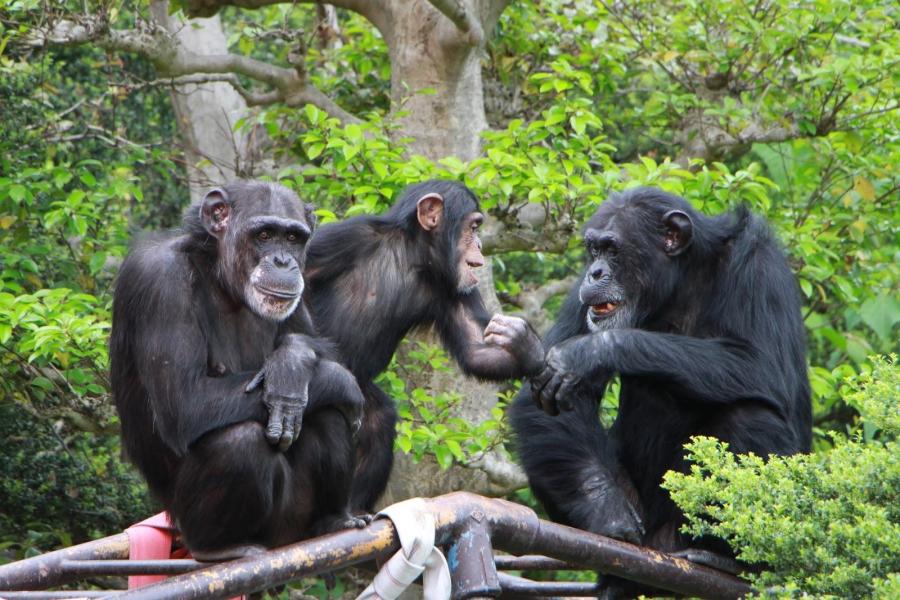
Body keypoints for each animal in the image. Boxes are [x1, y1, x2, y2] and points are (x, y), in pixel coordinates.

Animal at [110, 180, 368, 560]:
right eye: (264, 234)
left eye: (293, 238)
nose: (283, 261)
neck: (219, 275)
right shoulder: (160, 280)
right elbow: (186, 402)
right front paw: (337, 381)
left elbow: (323, 343)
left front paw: (291, 363)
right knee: (238, 442)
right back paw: (219, 548)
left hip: (294, 520)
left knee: (326, 411)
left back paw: (334, 519)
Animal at [302, 179, 544, 510]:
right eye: (473, 227)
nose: (480, 245)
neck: (413, 257)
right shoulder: (345, 238)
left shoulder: (455, 287)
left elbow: (475, 348)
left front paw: (527, 346)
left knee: (378, 421)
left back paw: (353, 510)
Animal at [510, 188, 812, 596]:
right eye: (593, 250)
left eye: (613, 249)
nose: (595, 272)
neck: (680, 280)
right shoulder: (582, 296)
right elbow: (544, 402)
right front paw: (606, 509)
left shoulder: (759, 266)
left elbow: (763, 364)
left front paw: (590, 352)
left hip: (684, 534)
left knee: (752, 418)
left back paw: (724, 561)